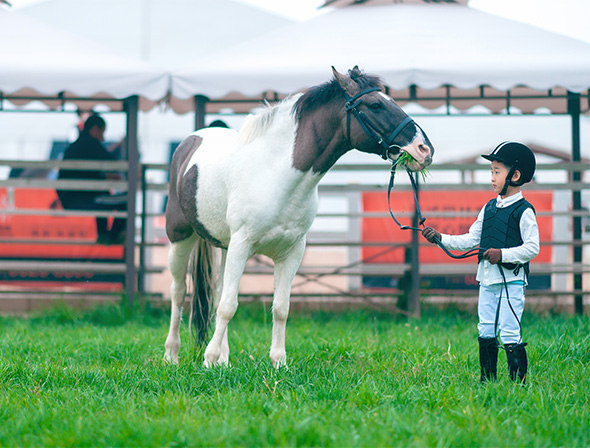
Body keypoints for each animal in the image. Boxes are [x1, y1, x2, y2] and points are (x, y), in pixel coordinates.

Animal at [164, 67, 438, 368]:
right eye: (376, 105)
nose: (424, 150)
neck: (276, 173)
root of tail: (191, 141)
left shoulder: (291, 251)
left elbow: (280, 308)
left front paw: (277, 362)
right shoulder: (242, 244)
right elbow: (228, 305)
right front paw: (209, 359)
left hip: (225, 247)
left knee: (219, 291)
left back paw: (223, 359)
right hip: (181, 238)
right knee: (179, 292)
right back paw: (172, 355)